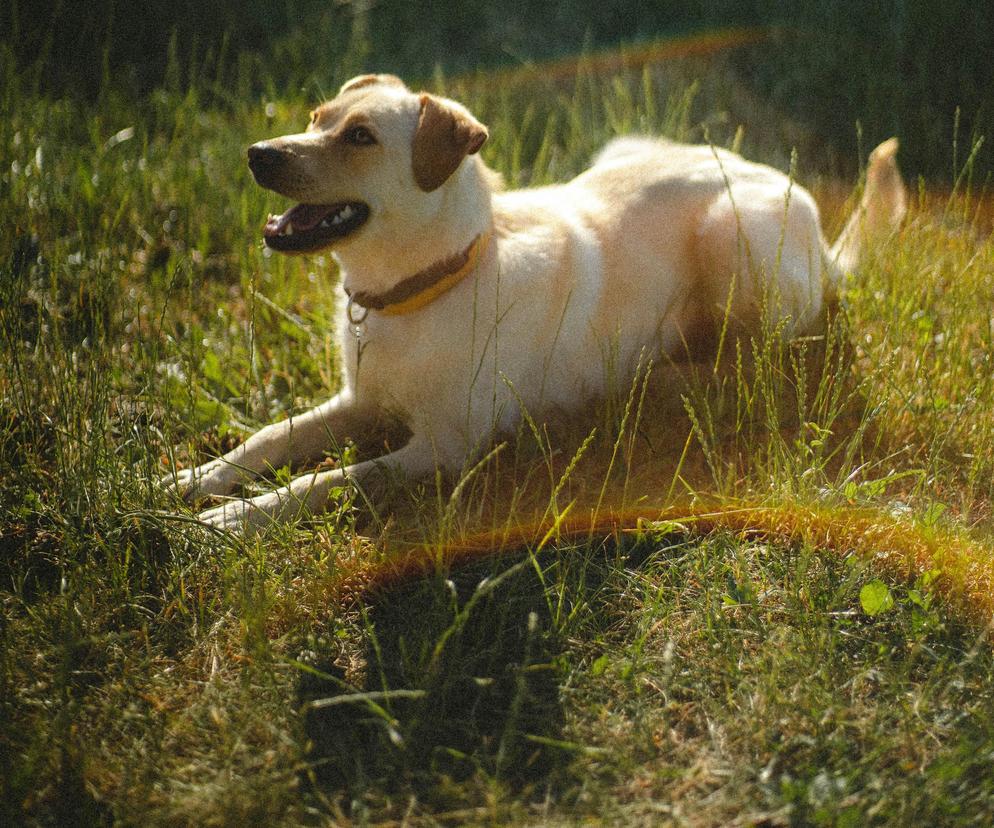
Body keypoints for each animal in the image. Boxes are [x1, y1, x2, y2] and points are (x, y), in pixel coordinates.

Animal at [165, 74, 908, 532]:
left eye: (360, 137)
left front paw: (230, 520)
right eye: (316, 119)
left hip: (736, 238)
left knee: (772, 358)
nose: (257, 153)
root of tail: (806, 208)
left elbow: (326, 480)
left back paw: (663, 378)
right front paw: (188, 481)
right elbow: (270, 437)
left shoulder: (442, 451)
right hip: (626, 149)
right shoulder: (361, 401)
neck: (423, 287)